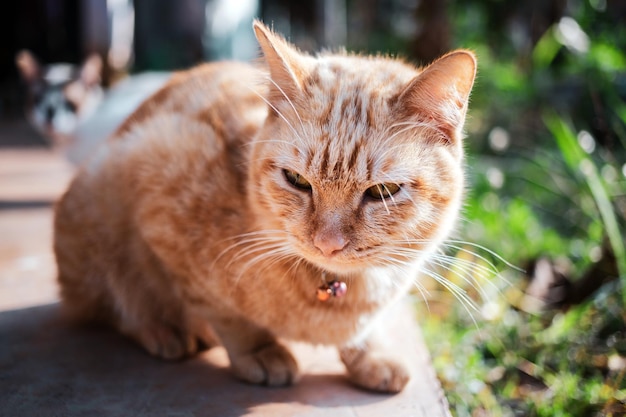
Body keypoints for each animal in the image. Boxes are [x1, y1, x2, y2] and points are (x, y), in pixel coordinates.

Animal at [53, 19, 476, 392]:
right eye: (297, 181)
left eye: (383, 191)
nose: (327, 244)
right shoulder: (161, 191)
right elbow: (224, 313)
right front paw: (259, 350)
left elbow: (365, 334)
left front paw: (372, 354)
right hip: (98, 203)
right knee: (115, 305)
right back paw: (163, 330)